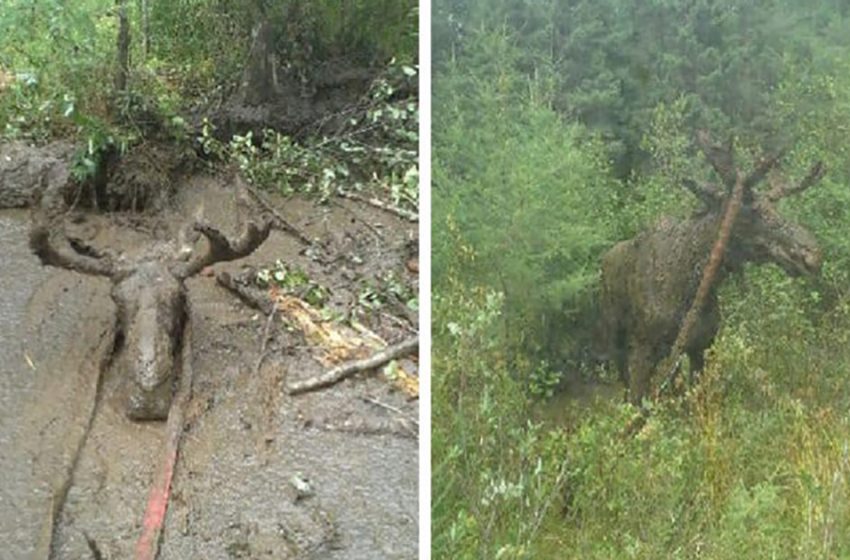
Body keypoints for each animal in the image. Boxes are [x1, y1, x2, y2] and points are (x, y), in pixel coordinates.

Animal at [596, 133, 820, 404]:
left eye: (774, 208)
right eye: (751, 211)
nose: (812, 254)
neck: (690, 288)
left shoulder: (700, 346)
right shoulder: (642, 349)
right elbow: (637, 401)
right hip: (615, 335)